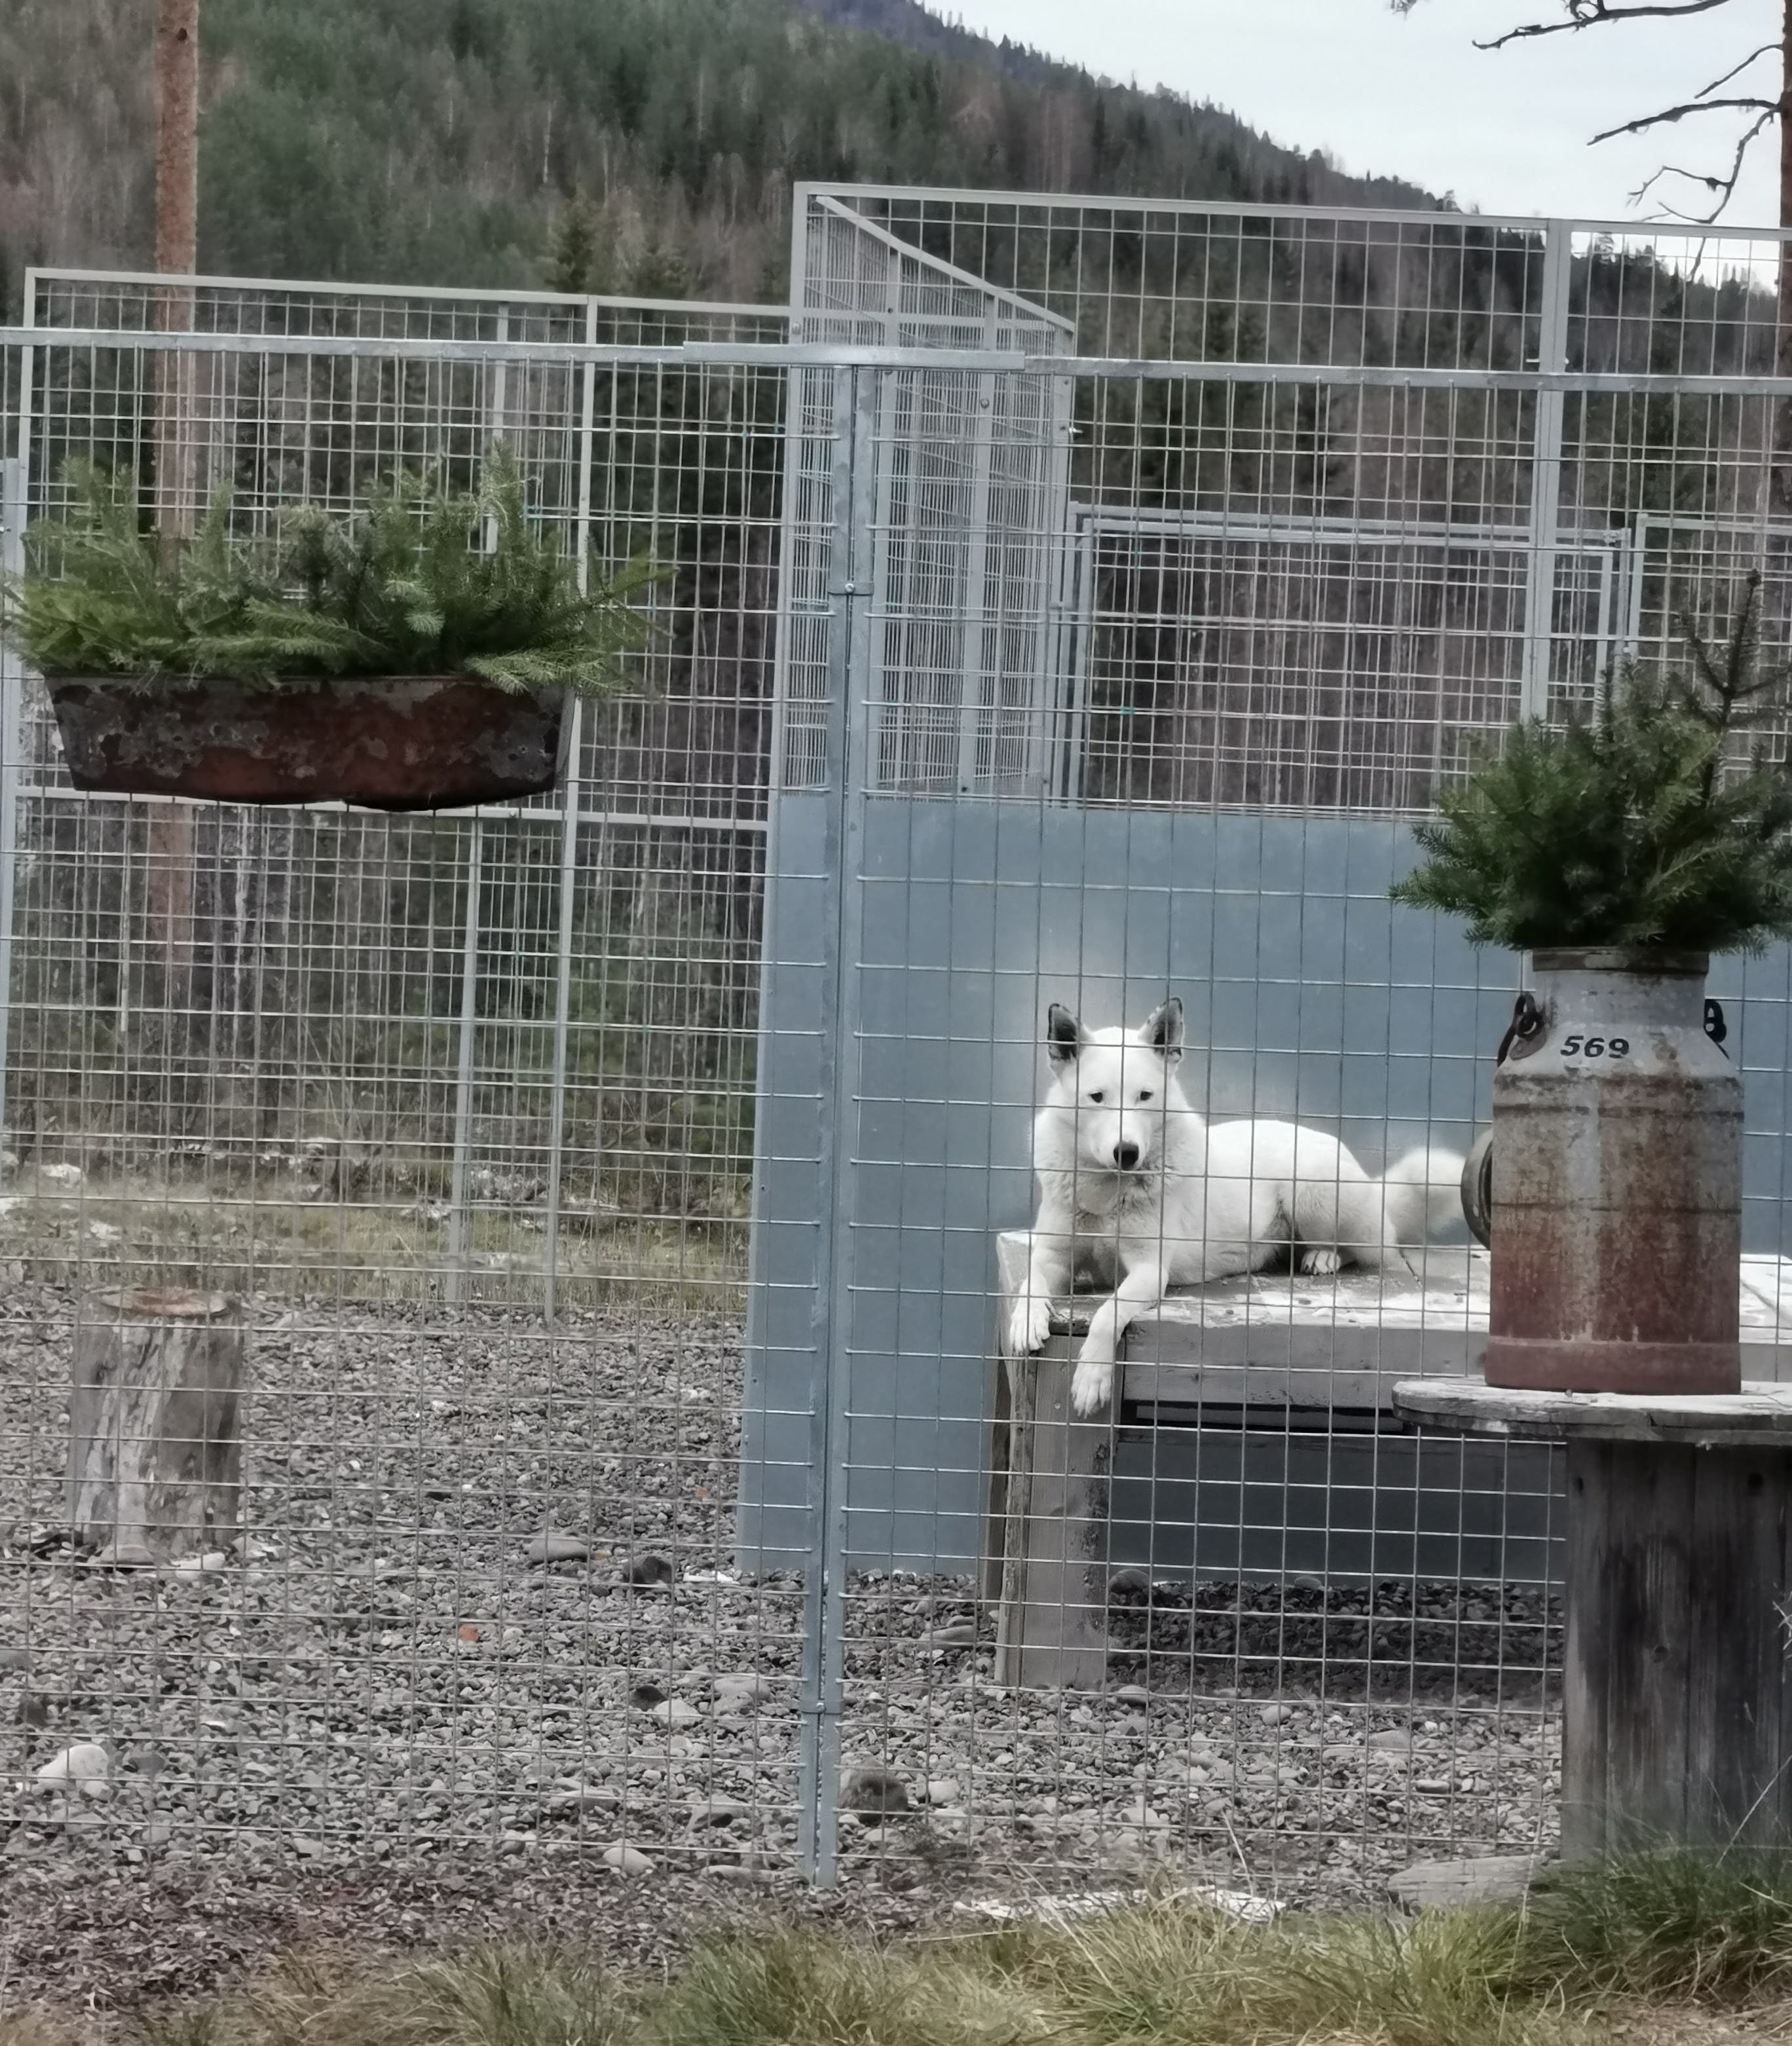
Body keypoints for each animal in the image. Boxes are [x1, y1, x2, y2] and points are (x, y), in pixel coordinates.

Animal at [1007, 998, 1466, 1416]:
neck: (1108, 1192)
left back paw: (1323, 1256)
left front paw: (1091, 1378)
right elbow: (1029, 1281)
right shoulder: (1053, 1255)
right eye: (1097, 1097)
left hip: (1312, 1186)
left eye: (1145, 1096)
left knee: (1374, 1250)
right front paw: (1025, 1320)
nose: (1128, 1152)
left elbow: (1106, 1313)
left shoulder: (1150, 1270)